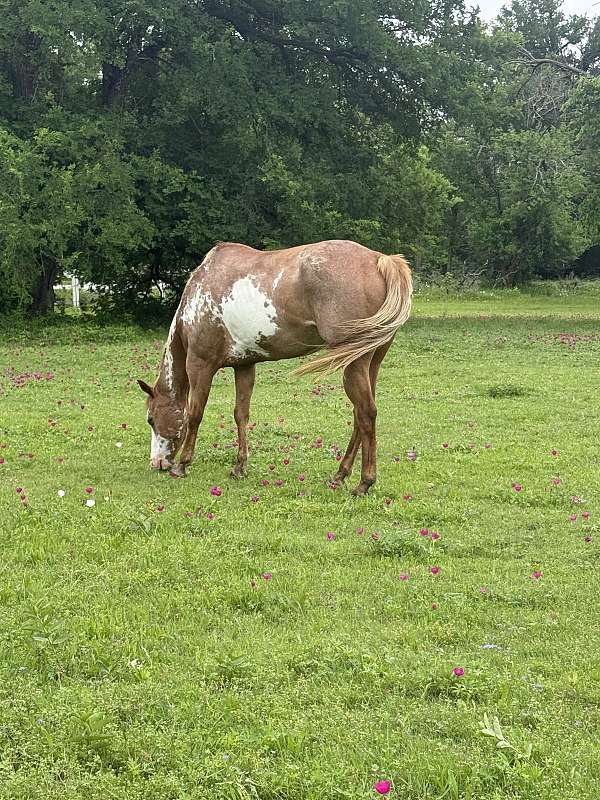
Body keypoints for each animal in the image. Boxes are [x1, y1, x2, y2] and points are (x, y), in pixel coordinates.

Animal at [138, 239, 412, 495]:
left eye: (151, 419)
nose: (157, 463)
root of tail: (380, 260)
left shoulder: (200, 365)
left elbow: (194, 414)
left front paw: (182, 464)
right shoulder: (245, 366)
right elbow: (241, 414)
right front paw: (239, 467)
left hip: (354, 365)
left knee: (366, 413)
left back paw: (364, 482)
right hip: (371, 363)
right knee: (359, 415)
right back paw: (340, 474)